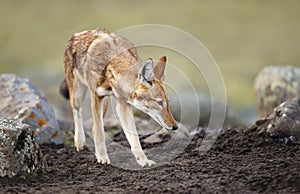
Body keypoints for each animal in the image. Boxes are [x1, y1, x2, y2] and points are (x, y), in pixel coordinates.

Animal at [59, 28, 177, 167]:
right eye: (159, 102)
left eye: (167, 102)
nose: (175, 127)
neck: (110, 66)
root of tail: (77, 34)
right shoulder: (96, 95)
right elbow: (99, 132)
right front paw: (102, 158)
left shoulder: (123, 104)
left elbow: (133, 137)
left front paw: (143, 160)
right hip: (78, 96)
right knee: (78, 112)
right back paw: (79, 142)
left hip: (105, 103)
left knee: (93, 125)